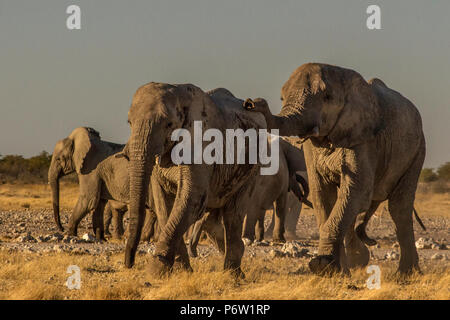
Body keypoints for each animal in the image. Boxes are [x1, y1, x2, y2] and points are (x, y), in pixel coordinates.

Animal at [123, 84, 306, 278]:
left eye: (169, 124)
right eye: (129, 123)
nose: (129, 263)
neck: (180, 93)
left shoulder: (202, 144)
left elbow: (193, 200)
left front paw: (155, 270)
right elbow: (163, 204)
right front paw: (181, 270)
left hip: (252, 167)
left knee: (234, 212)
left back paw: (233, 273)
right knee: (214, 217)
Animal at [244, 63, 424, 276]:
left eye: (327, 97)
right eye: (282, 98)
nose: (251, 103)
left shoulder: (364, 139)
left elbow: (357, 191)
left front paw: (323, 266)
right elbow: (323, 195)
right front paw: (338, 270)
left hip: (417, 152)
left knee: (399, 208)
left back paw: (404, 275)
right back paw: (359, 261)